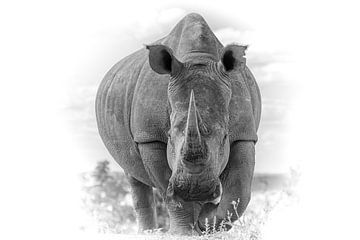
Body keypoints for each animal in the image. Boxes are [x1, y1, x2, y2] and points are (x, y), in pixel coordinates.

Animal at [94, 12, 260, 234]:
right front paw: (186, 232)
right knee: (132, 173)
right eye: (169, 136)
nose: (194, 189)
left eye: (225, 137)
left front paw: (206, 221)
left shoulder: (245, 133)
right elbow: (168, 189)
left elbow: (239, 189)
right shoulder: (149, 136)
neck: (198, 58)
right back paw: (149, 232)